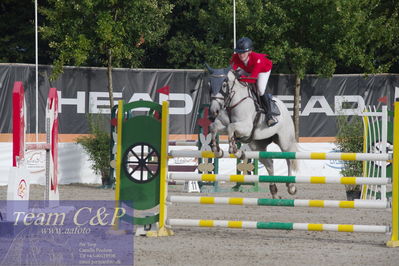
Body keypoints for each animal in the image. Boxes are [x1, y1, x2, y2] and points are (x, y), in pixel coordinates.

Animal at [208, 65, 298, 198]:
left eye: (224, 85)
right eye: (209, 84)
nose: (213, 111)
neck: (232, 102)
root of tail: (284, 107)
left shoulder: (246, 127)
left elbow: (231, 127)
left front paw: (234, 150)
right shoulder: (223, 124)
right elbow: (214, 127)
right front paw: (216, 149)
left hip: (285, 141)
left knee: (289, 159)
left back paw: (291, 186)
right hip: (257, 145)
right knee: (269, 163)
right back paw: (274, 192)